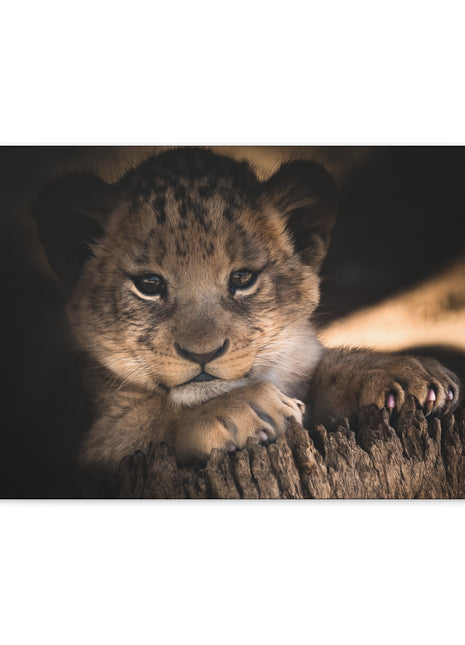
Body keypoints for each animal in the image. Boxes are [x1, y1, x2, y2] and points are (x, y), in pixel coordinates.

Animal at [32, 147, 461, 480]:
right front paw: (245, 409)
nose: (203, 354)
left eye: (242, 278)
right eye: (149, 284)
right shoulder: (88, 451)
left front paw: (404, 374)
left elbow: (324, 369)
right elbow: (150, 421)